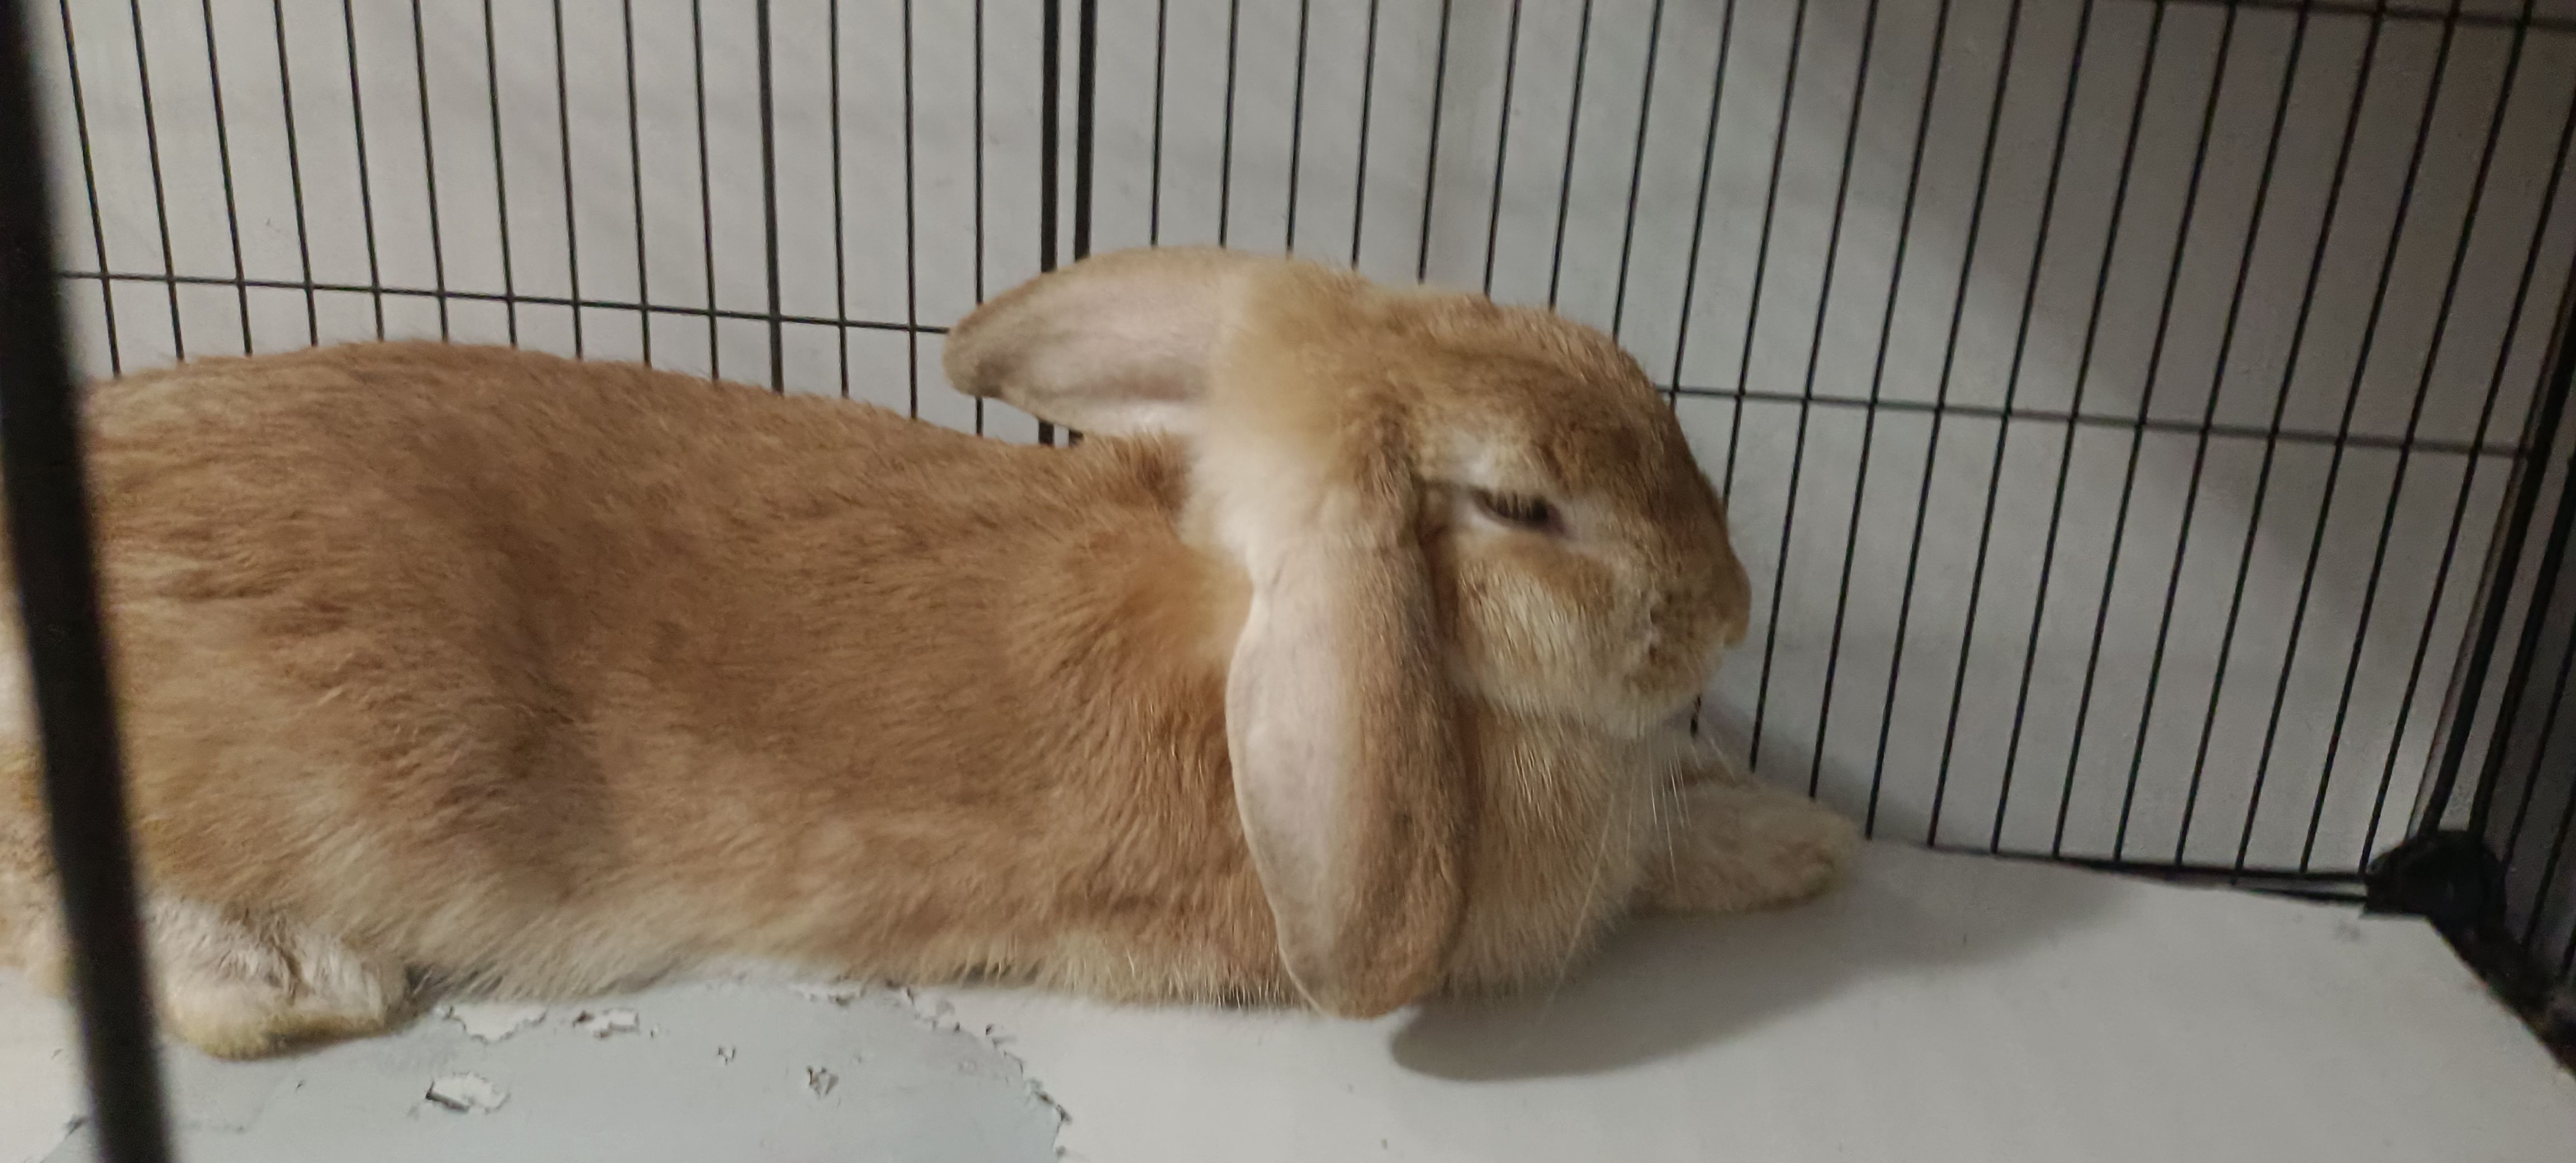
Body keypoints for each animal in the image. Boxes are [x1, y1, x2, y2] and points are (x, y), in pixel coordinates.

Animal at [0, 246, 1856, 1060]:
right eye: (1527, 508)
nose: (1729, 607)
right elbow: (1656, 860)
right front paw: (1802, 842)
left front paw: (1800, 822)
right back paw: (296, 985)